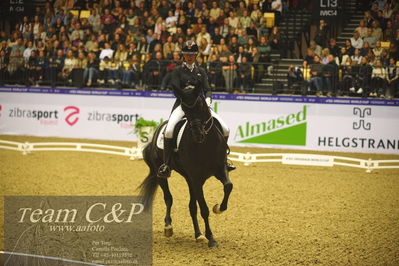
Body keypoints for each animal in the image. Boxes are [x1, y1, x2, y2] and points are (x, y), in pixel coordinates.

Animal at [140, 87, 234, 247]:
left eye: (201, 106)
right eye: (184, 108)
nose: (198, 134)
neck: (206, 144)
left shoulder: (219, 169)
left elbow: (228, 186)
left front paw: (218, 209)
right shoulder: (196, 178)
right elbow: (204, 209)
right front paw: (211, 238)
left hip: (189, 179)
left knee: (191, 206)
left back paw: (198, 235)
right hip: (162, 174)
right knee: (168, 198)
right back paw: (168, 227)